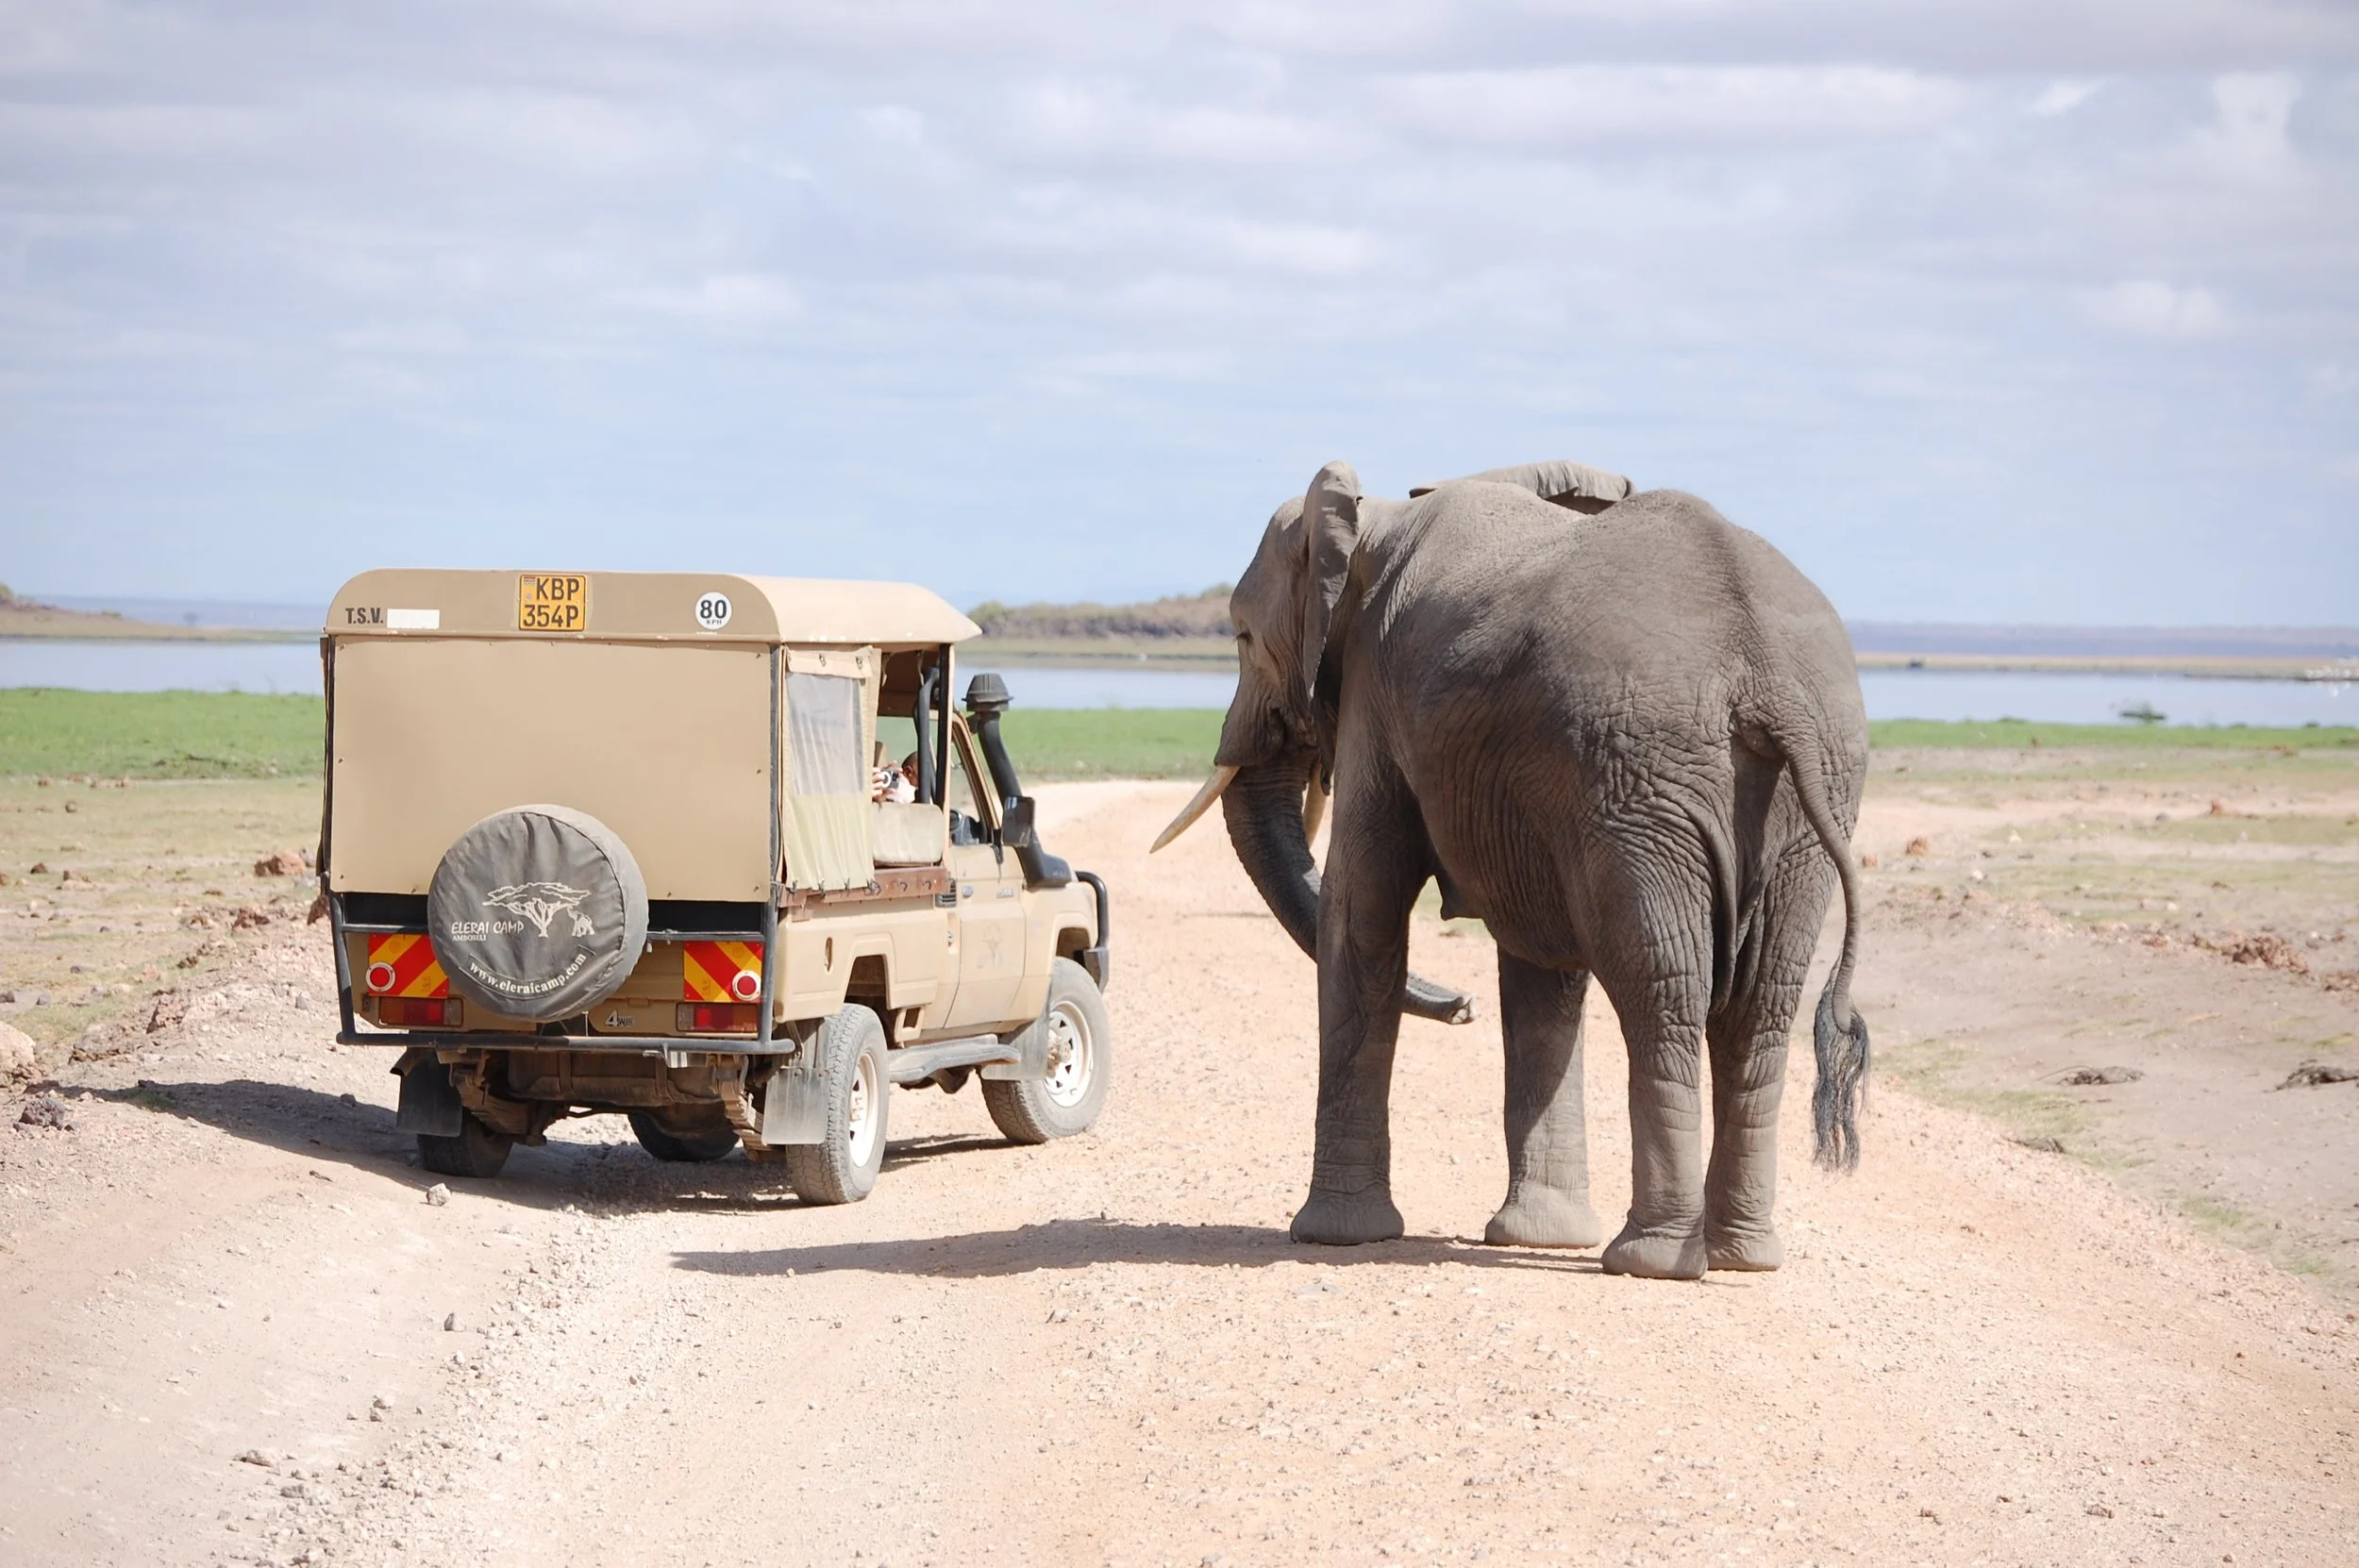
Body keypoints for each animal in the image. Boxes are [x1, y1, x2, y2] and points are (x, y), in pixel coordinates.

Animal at [1153, 458, 1869, 1280]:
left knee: (1665, 989)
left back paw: (1650, 1260)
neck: (1379, 518)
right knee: (1761, 1004)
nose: (1459, 1006)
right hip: (1792, 795)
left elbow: (1362, 912)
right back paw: (1742, 1258)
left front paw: (1336, 1237)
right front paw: (1541, 1239)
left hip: (1643, 780)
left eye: (1242, 637)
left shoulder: (1378, 693)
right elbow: (1541, 965)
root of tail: (1767, 676)